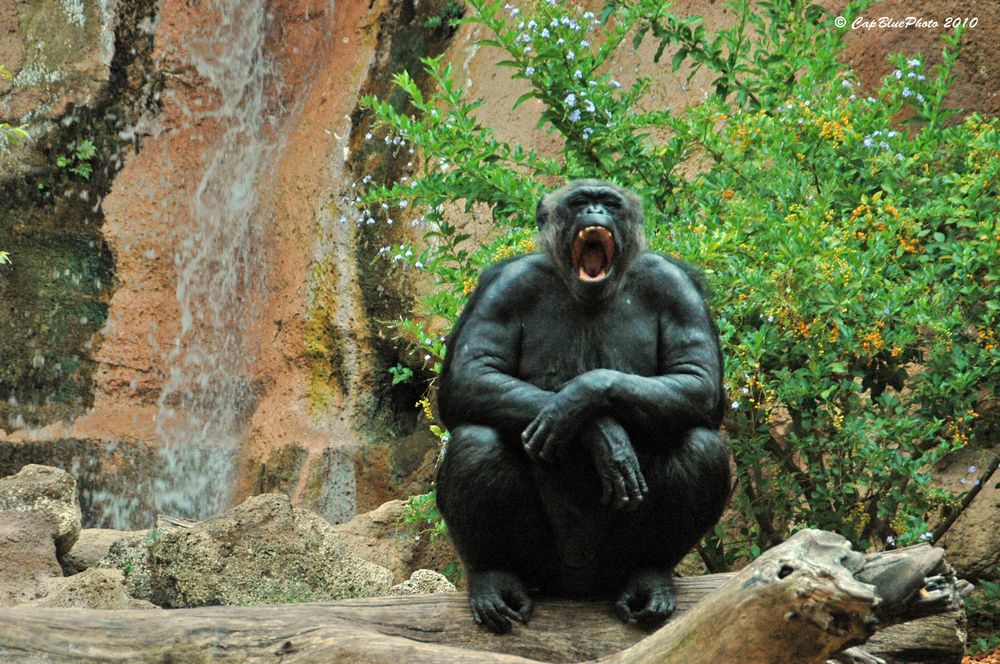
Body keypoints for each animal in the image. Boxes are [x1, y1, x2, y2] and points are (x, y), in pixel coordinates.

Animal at [434, 179, 732, 636]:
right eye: (579, 202)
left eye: (609, 202)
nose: (595, 210)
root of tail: (578, 586)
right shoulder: (504, 287)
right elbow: (471, 374)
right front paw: (599, 432)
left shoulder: (676, 288)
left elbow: (698, 379)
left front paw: (584, 398)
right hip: (540, 564)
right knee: (476, 440)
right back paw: (492, 579)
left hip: (615, 562)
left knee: (702, 446)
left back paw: (650, 578)